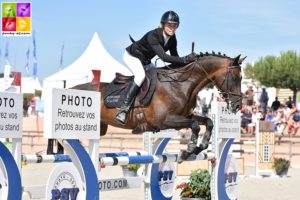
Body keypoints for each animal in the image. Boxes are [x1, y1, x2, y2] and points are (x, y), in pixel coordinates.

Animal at [74, 52, 245, 159]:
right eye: (236, 77)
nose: (237, 106)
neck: (180, 84)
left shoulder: (185, 116)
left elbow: (208, 122)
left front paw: (197, 148)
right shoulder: (165, 121)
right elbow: (196, 125)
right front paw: (189, 149)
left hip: (101, 128)